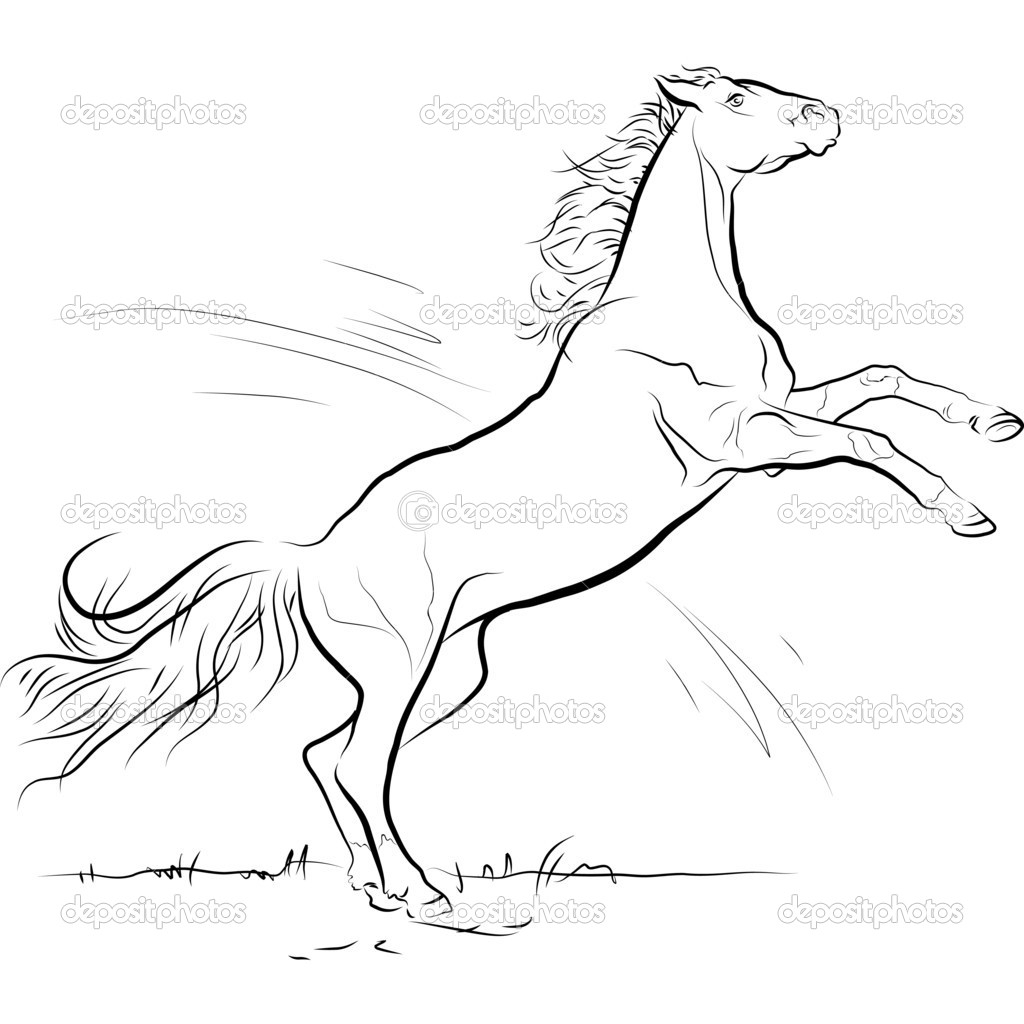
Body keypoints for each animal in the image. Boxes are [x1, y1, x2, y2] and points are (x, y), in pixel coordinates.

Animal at [9, 65, 1021, 919]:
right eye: (736, 98)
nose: (826, 116)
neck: (679, 311)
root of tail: (313, 558)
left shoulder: (776, 420)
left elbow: (882, 380)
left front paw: (991, 422)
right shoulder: (740, 439)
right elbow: (869, 437)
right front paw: (967, 511)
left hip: (448, 673)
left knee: (328, 756)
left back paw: (383, 891)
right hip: (399, 665)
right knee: (359, 763)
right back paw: (423, 896)